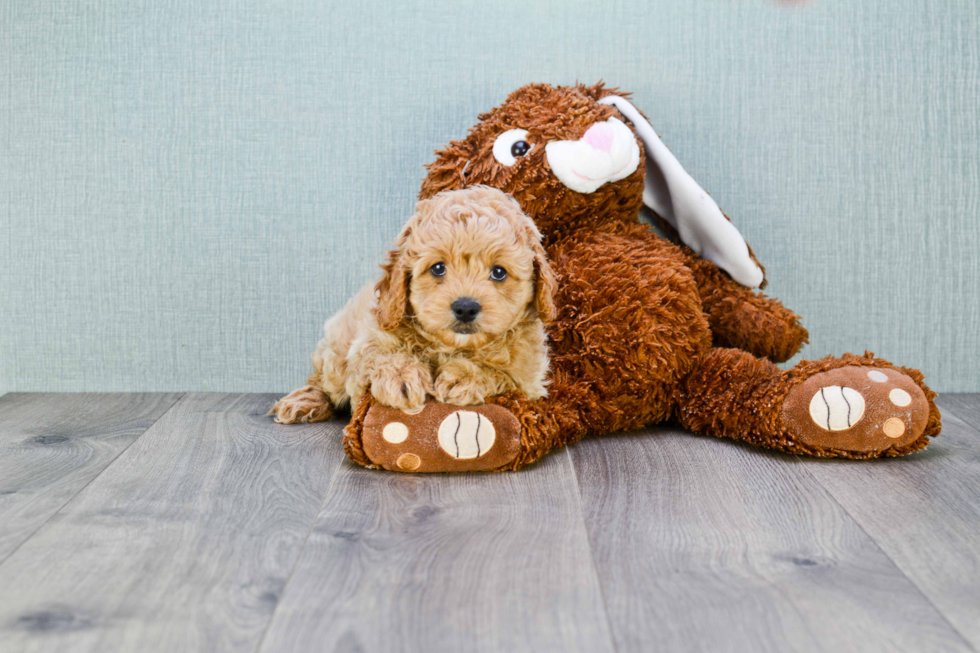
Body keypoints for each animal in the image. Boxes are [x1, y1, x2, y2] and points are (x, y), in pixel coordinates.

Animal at [272, 185, 556, 422]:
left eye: (499, 272)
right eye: (438, 268)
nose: (465, 307)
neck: (451, 345)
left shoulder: (530, 379)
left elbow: (505, 377)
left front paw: (465, 377)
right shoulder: (370, 337)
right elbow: (378, 354)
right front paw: (401, 376)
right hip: (336, 352)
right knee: (323, 380)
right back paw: (304, 402)